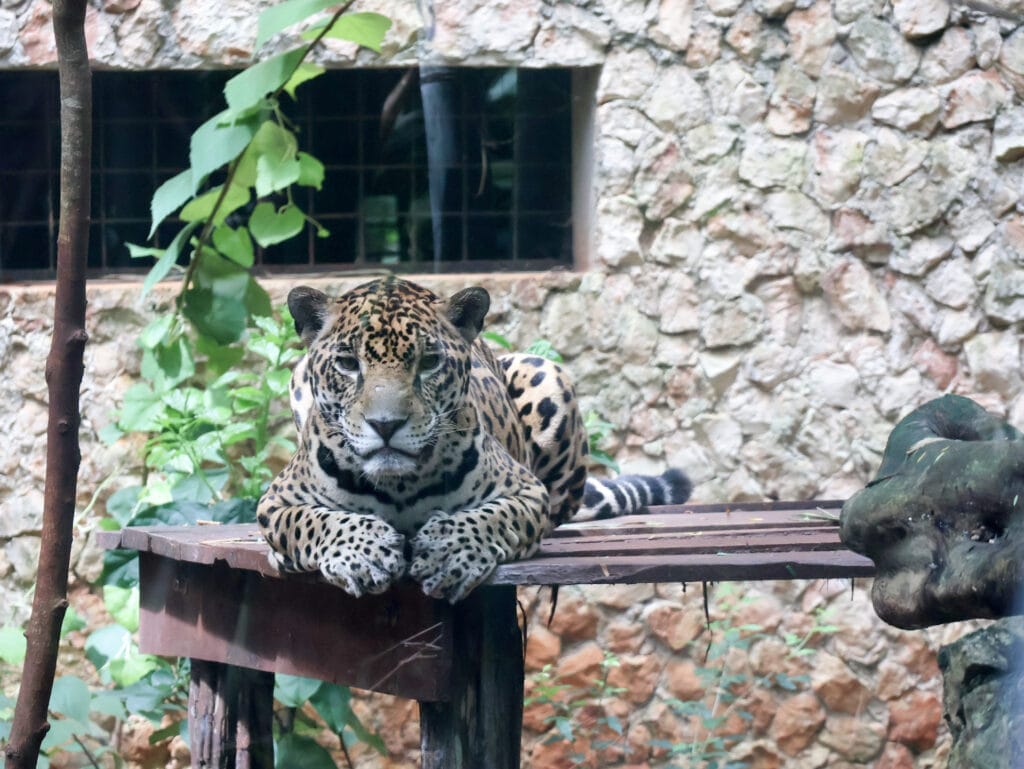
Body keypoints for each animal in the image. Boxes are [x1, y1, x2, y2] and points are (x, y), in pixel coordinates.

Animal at [257, 276, 691, 602]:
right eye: (348, 363)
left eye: (429, 362)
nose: (386, 424)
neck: (399, 488)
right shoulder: (276, 501)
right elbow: (314, 520)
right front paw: (362, 553)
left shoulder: (526, 491)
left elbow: (492, 517)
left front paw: (447, 552)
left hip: (546, 372)